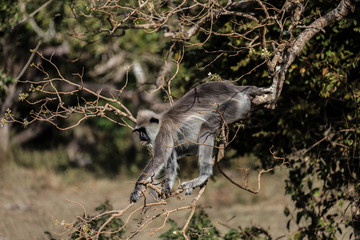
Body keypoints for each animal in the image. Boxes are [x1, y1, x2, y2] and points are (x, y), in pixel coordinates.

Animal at [130, 80, 264, 202]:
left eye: (142, 130)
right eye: (138, 131)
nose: (141, 137)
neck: (162, 122)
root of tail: (235, 88)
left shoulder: (163, 133)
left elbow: (159, 158)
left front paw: (137, 188)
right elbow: (172, 157)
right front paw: (167, 187)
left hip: (234, 106)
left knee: (206, 127)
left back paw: (203, 176)